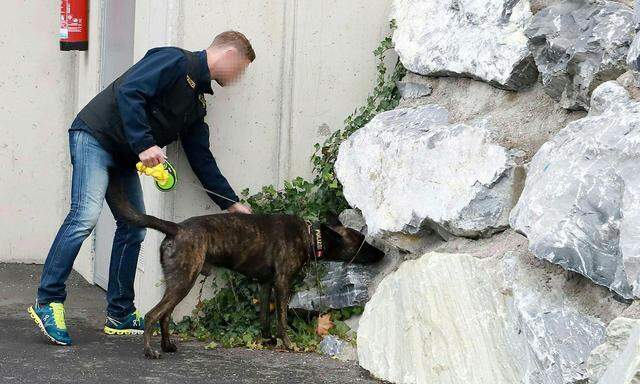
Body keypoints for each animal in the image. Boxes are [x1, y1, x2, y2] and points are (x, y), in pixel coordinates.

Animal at [106, 171, 384, 356]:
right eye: (362, 242)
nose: (382, 253)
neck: (309, 235)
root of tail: (176, 227)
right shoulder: (282, 284)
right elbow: (282, 319)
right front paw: (288, 344)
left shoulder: (265, 284)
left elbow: (264, 318)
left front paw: (267, 340)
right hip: (184, 280)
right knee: (153, 315)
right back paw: (150, 351)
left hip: (178, 282)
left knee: (165, 316)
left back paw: (167, 345)